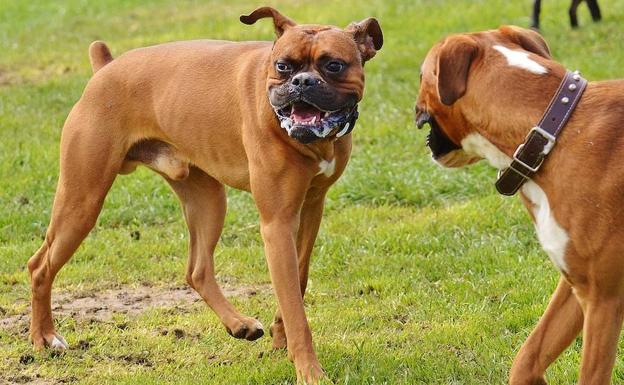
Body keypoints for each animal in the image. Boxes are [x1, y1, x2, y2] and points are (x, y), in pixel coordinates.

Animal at [25, 7, 380, 382]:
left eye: (334, 65)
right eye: (283, 66)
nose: (302, 82)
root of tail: (105, 68)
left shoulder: (311, 208)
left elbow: (298, 281)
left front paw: (280, 338)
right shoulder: (278, 224)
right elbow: (296, 309)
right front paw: (310, 371)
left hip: (208, 201)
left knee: (196, 270)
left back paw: (238, 325)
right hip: (81, 202)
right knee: (39, 266)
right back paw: (44, 338)